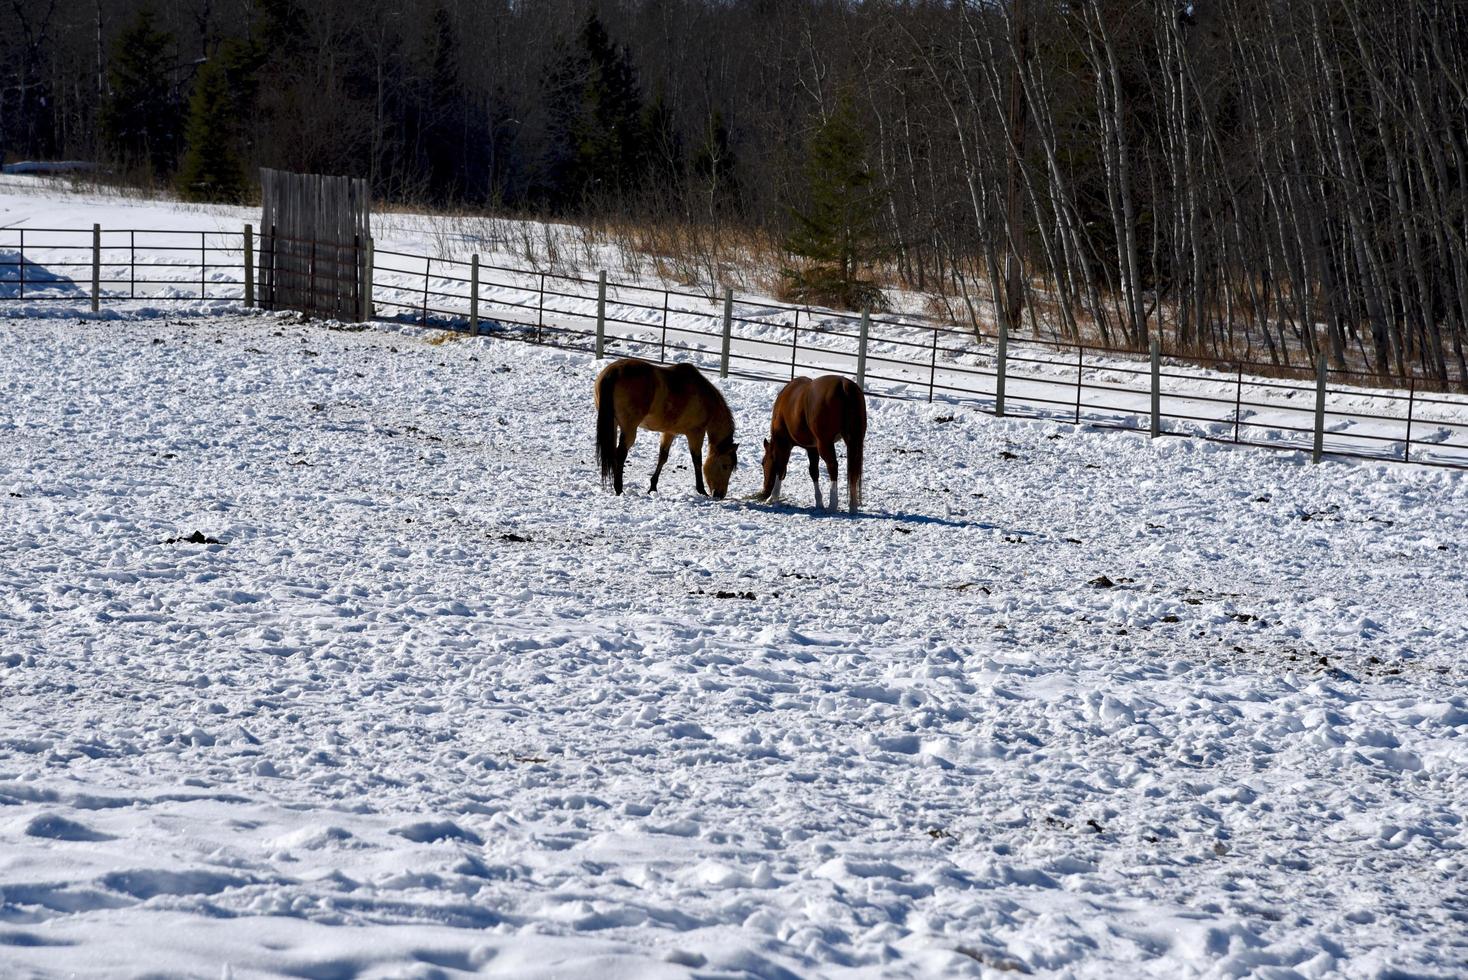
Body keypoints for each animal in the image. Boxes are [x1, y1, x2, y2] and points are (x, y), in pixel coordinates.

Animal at [593, 356, 739, 498]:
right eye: (725, 466)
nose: (720, 495)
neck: (705, 399)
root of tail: (614, 371)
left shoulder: (669, 432)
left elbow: (662, 457)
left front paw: (652, 487)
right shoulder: (696, 433)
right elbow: (697, 460)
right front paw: (701, 490)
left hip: (613, 424)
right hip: (629, 428)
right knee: (620, 454)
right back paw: (619, 489)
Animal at [751, 372, 863, 513]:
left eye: (763, 462)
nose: (765, 490)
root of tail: (844, 385)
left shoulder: (783, 443)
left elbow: (781, 466)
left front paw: (773, 496)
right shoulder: (812, 448)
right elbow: (813, 471)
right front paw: (819, 502)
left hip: (825, 444)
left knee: (832, 466)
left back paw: (833, 504)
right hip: (854, 441)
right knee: (853, 469)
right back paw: (853, 506)